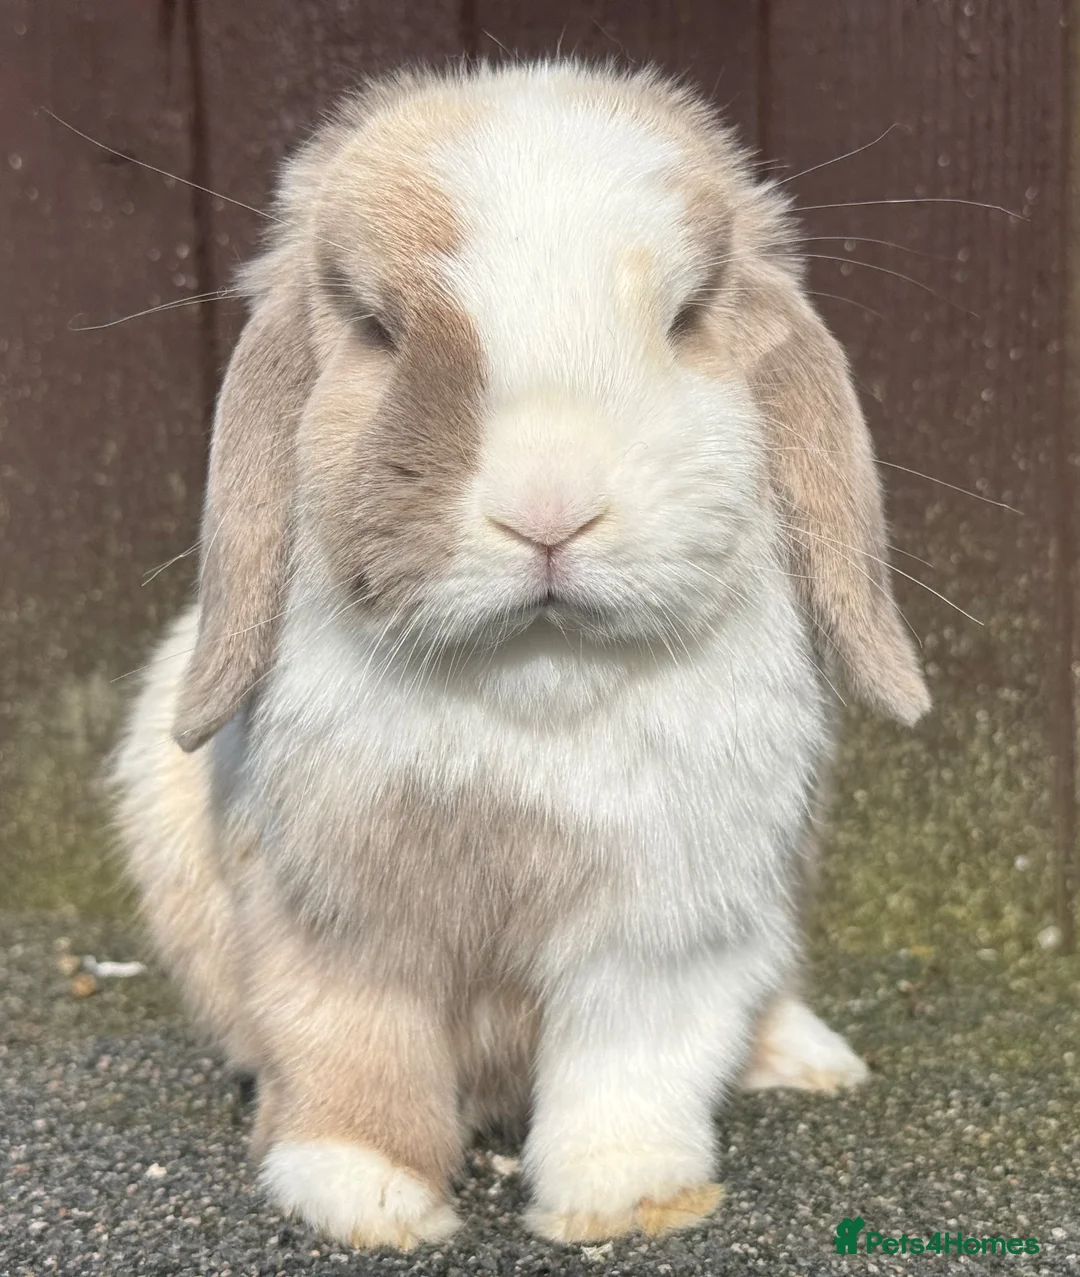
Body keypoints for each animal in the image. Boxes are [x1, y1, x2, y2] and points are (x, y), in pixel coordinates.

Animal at [110, 59, 928, 1250]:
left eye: (687, 320)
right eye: (377, 330)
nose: (551, 510)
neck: (534, 681)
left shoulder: (665, 931)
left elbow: (630, 1067)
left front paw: (626, 1197)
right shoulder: (338, 922)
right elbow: (352, 1051)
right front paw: (360, 1191)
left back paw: (806, 1056)